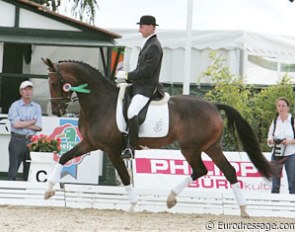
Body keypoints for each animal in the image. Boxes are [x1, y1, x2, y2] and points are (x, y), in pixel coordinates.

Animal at [41, 58, 272, 218]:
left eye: (54, 82)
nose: (57, 110)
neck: (100, 103)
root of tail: (214, 106)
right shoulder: (89, 143)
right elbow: (64, 157)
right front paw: (48, 190)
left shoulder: (112, 150)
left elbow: (125, 177)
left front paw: (133, 205)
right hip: (211, 147)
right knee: (228, 171)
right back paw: (243, 210)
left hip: (191, 148)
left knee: (201, 170)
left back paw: (171, 198)